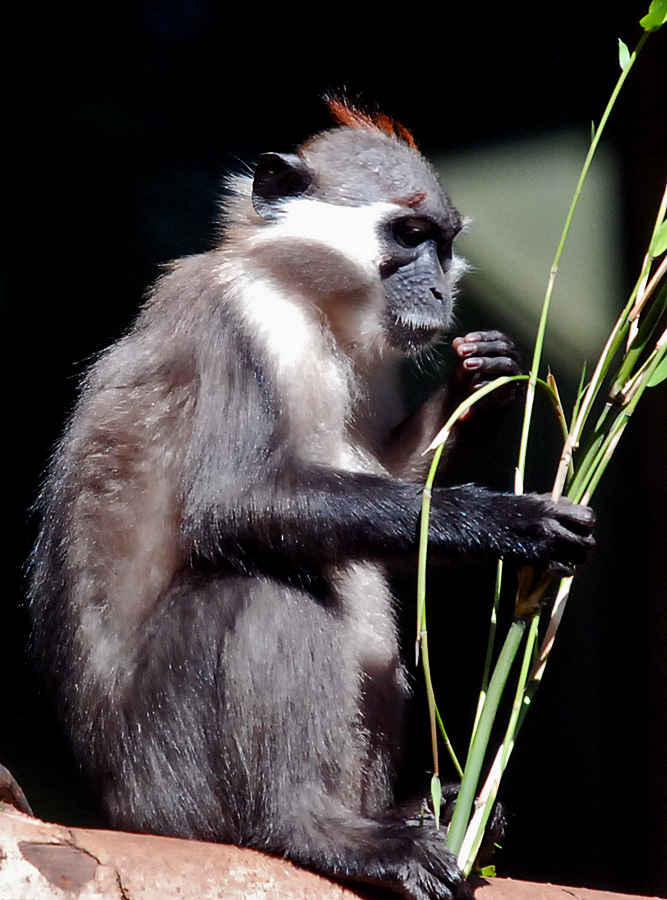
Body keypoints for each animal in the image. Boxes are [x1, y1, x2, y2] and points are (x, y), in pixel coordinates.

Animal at [29, 99, 594, 900]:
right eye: (408, 236)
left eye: (444, 245)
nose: (439, 293)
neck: (305, 299)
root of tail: (121, 809)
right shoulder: (234, 323)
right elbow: (229, 507)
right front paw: (505, 522)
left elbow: (389, 479)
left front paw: (479, 380)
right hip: (168, 775)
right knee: (266, 586)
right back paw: (317, 829)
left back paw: (420, 809)